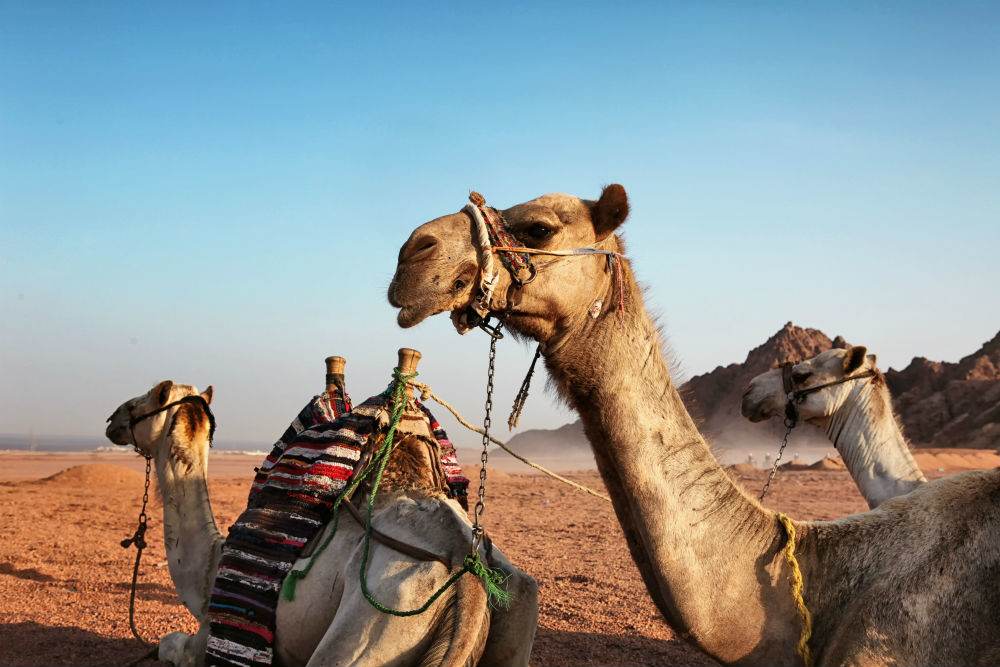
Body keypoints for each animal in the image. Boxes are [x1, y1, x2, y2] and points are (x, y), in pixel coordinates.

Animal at [105, 361, 536, 666]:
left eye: (144, 400)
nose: (113, 418)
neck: (210, 568)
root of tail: (471, 575)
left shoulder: (208, 635)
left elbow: (169, 645)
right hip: (517, 613)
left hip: (376, 622)